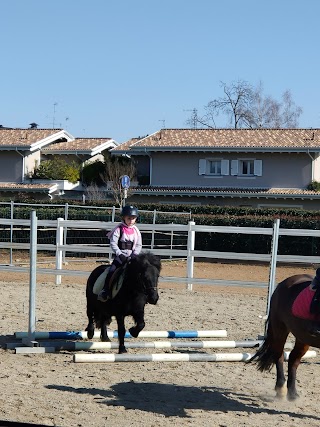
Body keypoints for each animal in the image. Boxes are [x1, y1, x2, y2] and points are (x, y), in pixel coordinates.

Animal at [250, 274, 320, 402]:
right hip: (280, 329)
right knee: (279, 356)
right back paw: (281, 390)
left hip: (302, 337)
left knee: (293, 359)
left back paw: (292, 394)